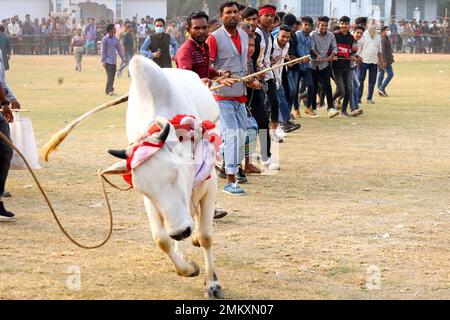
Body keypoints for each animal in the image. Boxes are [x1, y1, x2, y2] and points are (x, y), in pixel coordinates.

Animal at [106, 56, 225, 298]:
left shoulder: (209, 186)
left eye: (174, 174)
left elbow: (206, 235)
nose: (180, 232)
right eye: (143, 189)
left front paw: (213, 284)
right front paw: (188, 267)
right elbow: (161, 240)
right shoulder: (151, 203)